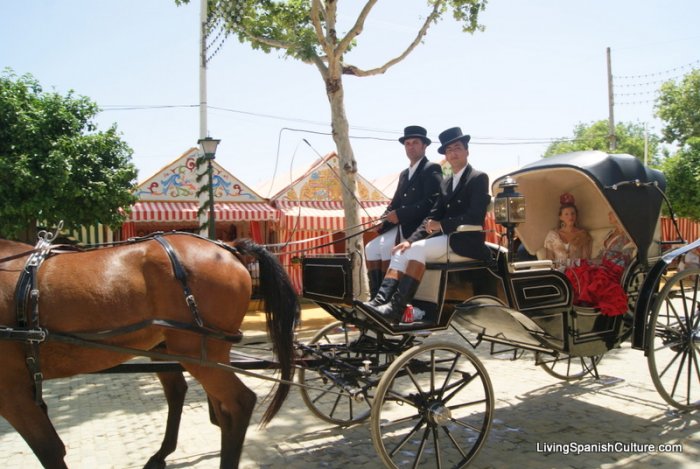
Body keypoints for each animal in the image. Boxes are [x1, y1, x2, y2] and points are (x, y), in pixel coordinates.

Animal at [0, 232, 298, 466]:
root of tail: (228, 247)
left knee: (238, 403)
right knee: (215, 407)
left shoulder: (12, 392)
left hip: (197, 354)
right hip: (195, 354)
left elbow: (49, 450)